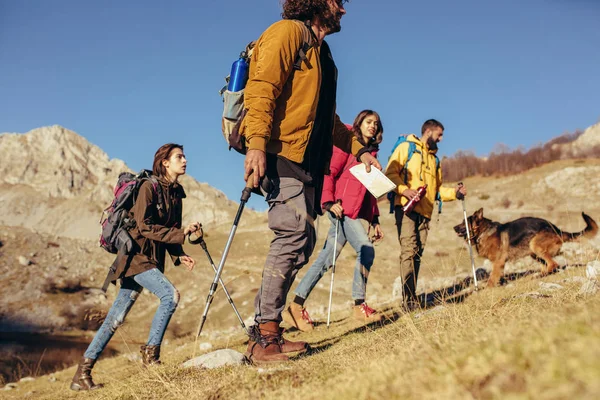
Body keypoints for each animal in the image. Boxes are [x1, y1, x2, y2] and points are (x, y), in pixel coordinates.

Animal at [452, 208, 596, 286]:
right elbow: (497, 275)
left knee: (553, 264)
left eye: (464, 222)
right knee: (547, 264)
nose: (454, 228)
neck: (483, 232)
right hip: (533, 252)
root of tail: (556, 229)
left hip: (534, 245)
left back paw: (540, 275)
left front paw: (488, 288)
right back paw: (540, 274)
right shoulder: (498, 264)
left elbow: (492, 278)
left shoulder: (498, 261)